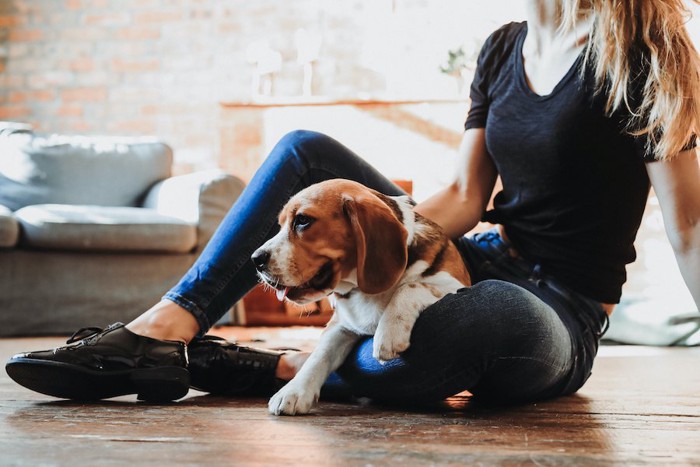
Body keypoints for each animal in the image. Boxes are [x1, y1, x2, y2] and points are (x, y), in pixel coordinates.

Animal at [252, 179, 470, 416]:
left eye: (302, 220)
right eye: (281, 223)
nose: (256, 259)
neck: (364, 291)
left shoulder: (456, 285)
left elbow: (411, 285)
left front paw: (388, 334)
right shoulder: (342, 325)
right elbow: (318, 355)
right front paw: (293, 391)